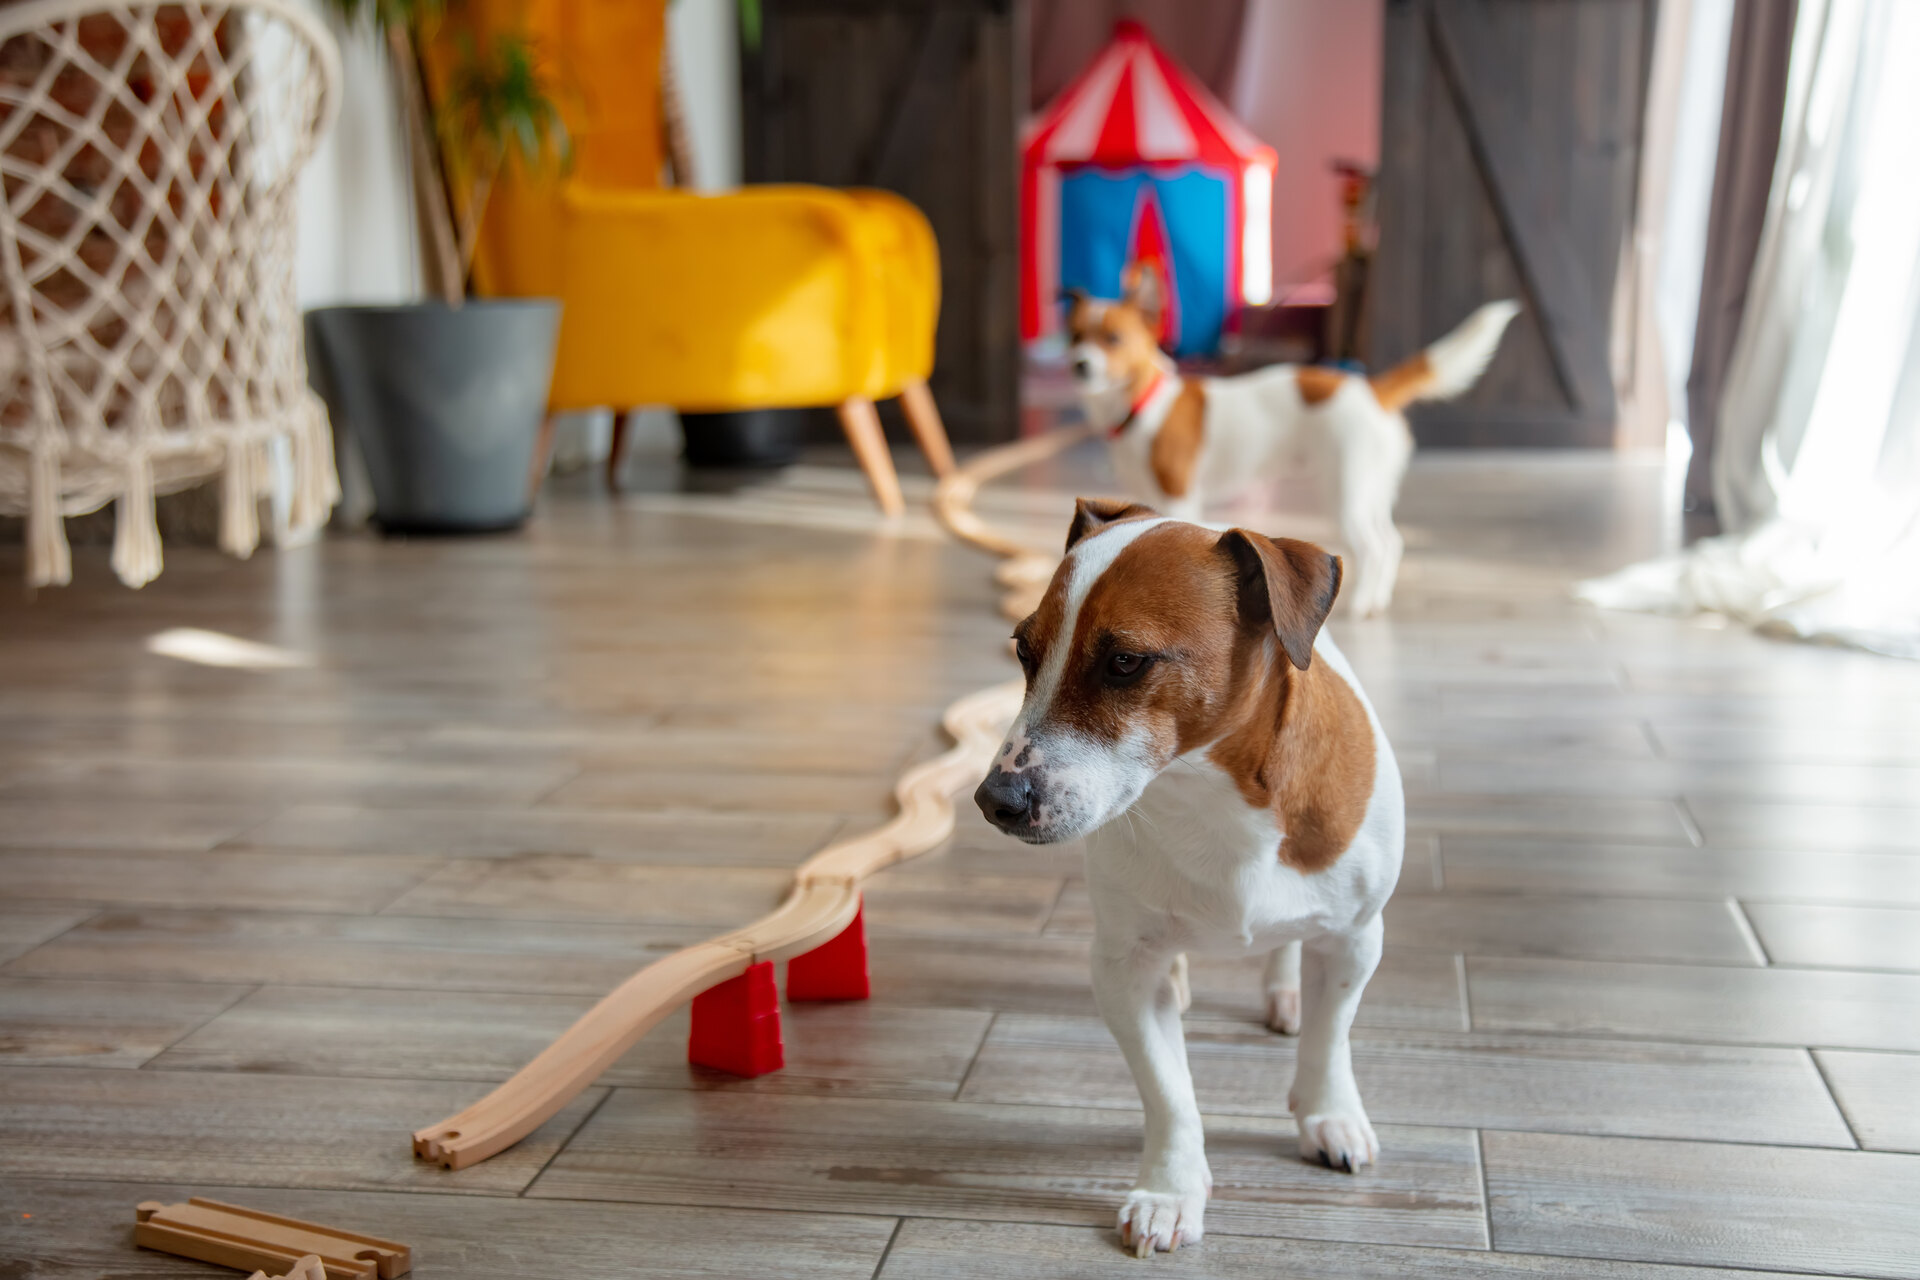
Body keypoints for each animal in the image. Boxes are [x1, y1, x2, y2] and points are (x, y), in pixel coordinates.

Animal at [983, 498, 1405, 1258]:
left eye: (1125, 662)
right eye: (1024, 652)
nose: (992, 798)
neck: (1206, 793)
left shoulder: (1356, 939)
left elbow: (1330, 1039)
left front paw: (1328, 1115)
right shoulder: (1122, 969)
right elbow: (1169, 1093)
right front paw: (1170, 1191)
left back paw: (1286, 992)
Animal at [1067, 276, 1512, 621]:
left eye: (1112, 339)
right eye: (1075, 336)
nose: (1079, 364)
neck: (1143, 401)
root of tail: (1372, 390)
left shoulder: (1180, 496)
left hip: (1343, 494)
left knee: (1372, 546)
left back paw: (1361, 605)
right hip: (1370, 490)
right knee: (1392, 541)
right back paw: (1377, 600)